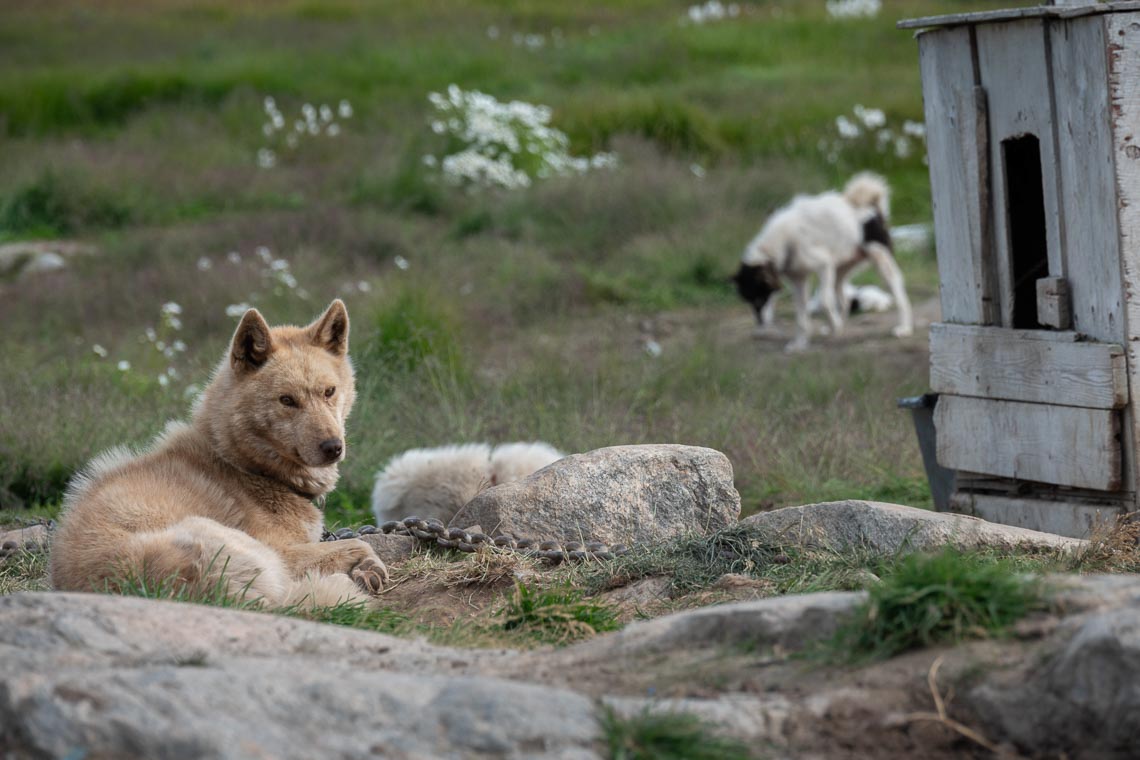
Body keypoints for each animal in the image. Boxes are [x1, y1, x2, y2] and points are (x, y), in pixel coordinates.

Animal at [51, 300, 389, 610]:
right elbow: (357, 543)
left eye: (329, 391)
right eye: (287, 400)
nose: (333, 447)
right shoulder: (285, 550)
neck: (242, 466)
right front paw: (368, 568)